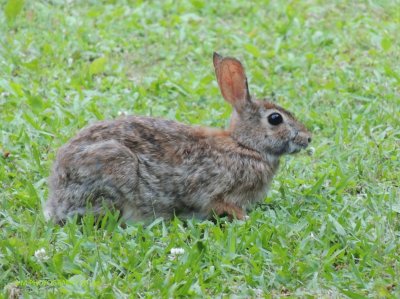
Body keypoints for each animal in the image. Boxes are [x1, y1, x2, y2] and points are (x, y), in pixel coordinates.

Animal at [44, 52, 312, 224]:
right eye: (275, 119)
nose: (308, 138)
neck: (244, 145)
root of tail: (57, 198)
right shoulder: (214, 191)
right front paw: (245, 218)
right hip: (115, 167)